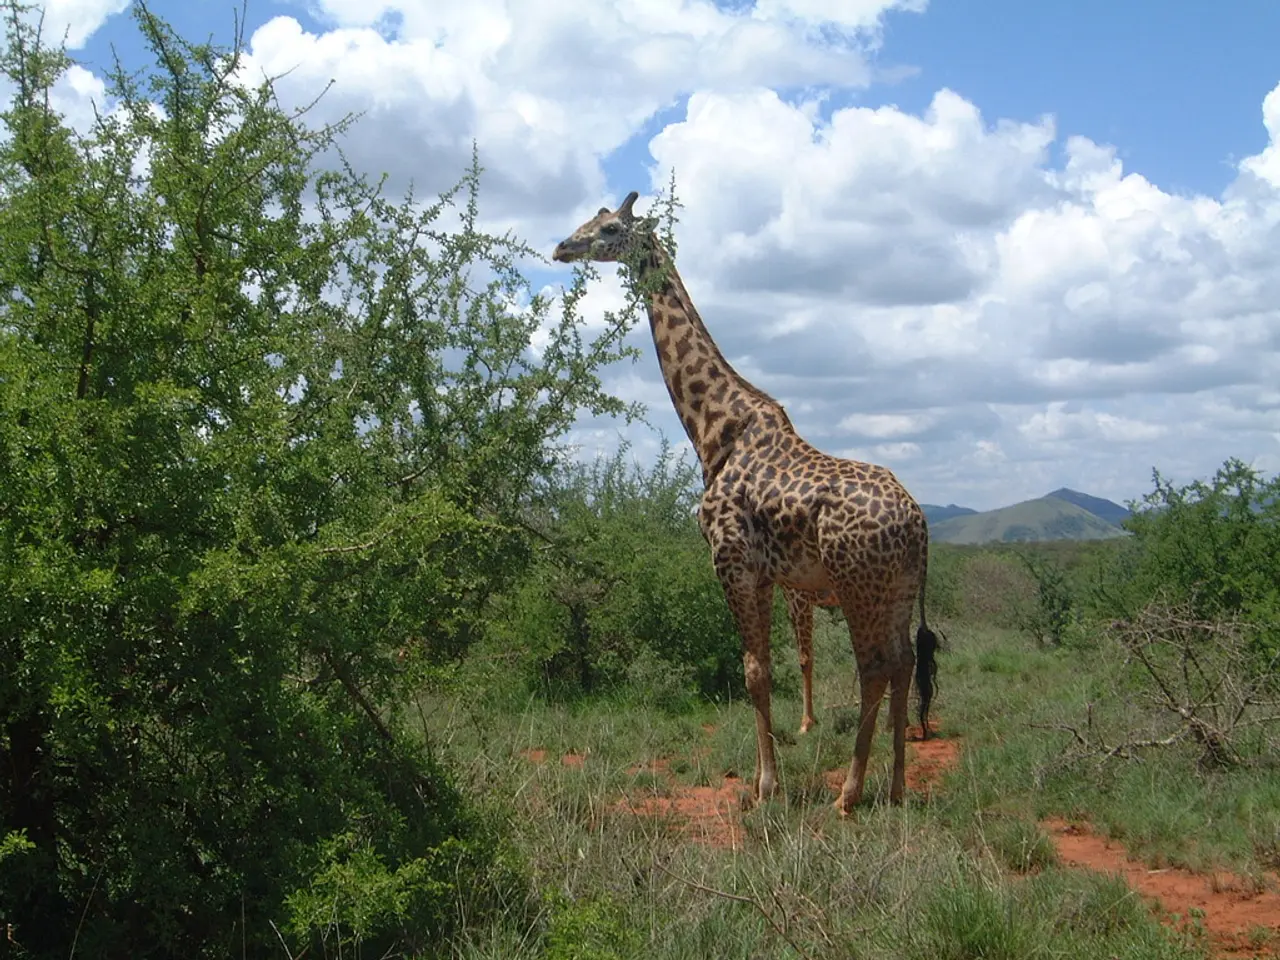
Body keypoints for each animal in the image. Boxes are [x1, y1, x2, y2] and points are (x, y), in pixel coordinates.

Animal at [552, 192, 938, 812]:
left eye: (609, 229)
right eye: (591, 220)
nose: (563, 247)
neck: (713, 431)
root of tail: (920, 523)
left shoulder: (730, 561)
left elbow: (754, 671)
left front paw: (765, 787)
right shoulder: (762, 574)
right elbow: (763, 670)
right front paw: (770, 776)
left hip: (857, 584)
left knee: (874, 668)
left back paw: (849, 793)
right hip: (897, 588)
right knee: (903, 665)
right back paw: (897, 787)